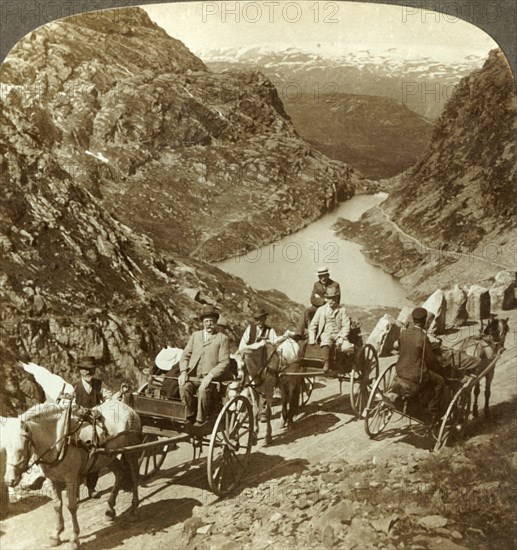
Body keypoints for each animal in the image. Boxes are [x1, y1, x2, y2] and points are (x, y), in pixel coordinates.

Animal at [1, 402, 141, 550]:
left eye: (20, 449)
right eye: (5, 449)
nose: (9, 480)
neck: (59, 440)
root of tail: (127, 407)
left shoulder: (71, 479)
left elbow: (72, 506)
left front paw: (74, 538)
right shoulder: (52, 480)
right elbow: (57, 505)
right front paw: (56, 534)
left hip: (131, 450)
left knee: (134, 474)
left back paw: (133, 509)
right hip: (108, 456)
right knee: (120, 473)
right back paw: (110, 509)